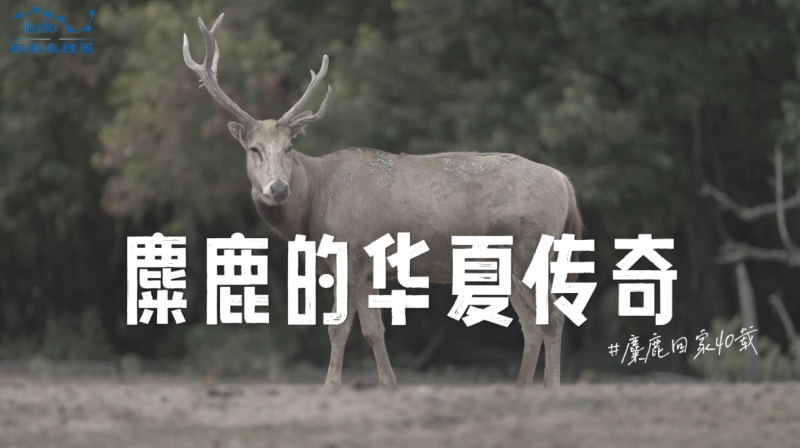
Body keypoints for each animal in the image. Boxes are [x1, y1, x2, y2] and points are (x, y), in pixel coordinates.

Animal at [183, 14, 582, 390]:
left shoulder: (350, 250)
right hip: (508, 261)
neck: (314, 206)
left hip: (532, 245)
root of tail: (565, 183)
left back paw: (551, 387)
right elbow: (374, 330)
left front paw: (330, 386)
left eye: (289, 147)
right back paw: (521, 387)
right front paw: (389, 383)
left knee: (553, 317)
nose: (278, 189)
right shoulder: (369, 267)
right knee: (531, 323)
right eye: (254, 149)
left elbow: (338, 326)